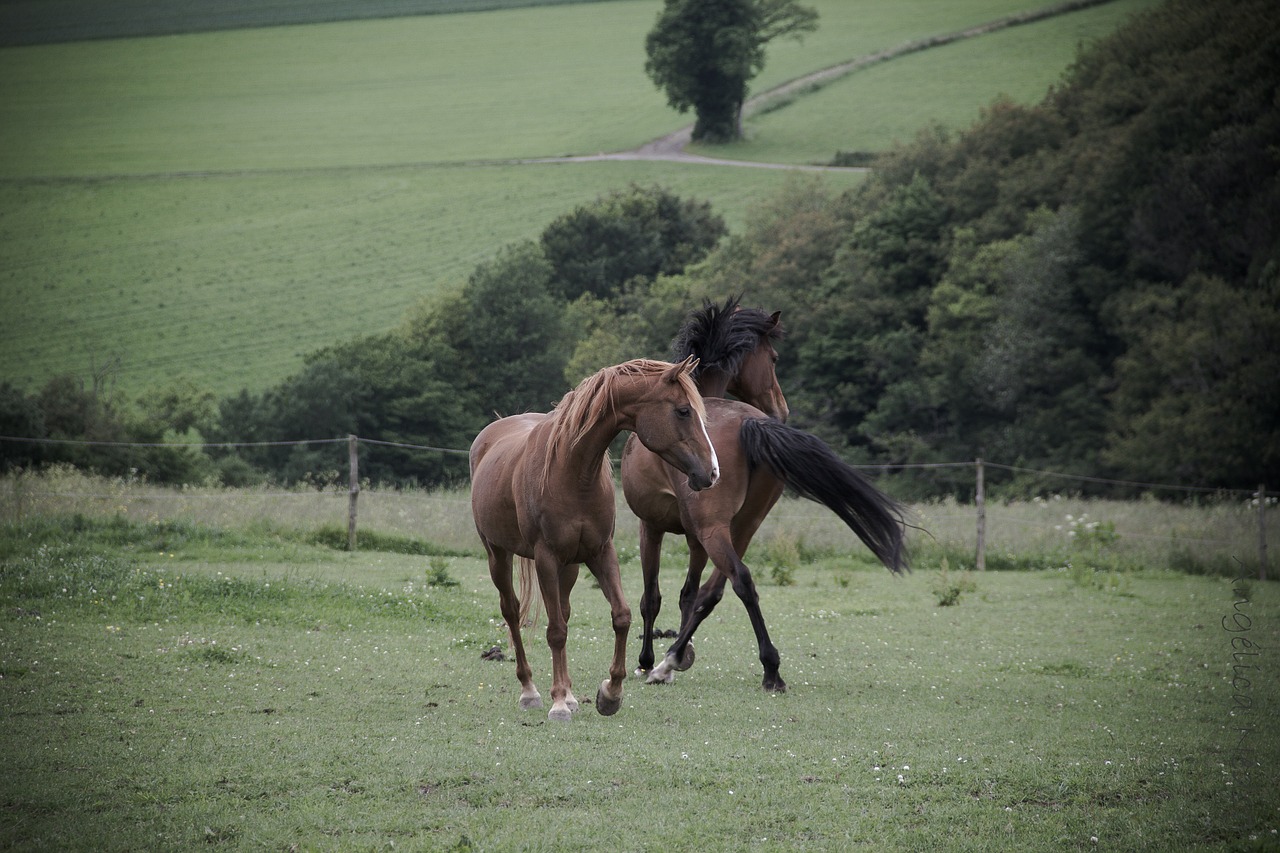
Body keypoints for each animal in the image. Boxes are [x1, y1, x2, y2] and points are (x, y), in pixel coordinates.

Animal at [476, 356, 727, 722]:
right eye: (683, 411)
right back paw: (531, 691)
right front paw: (557, 703)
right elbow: (555, 631)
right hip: (498, 554)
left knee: (563, 612)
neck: (572, 470)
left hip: (568, 567)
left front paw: (609, 694)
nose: (712, 473)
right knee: (512, 611)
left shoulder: (600, 552)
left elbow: (620, 616)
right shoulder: (546, 557)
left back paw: (569, 695)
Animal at [622, 298, 911, 691]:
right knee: (720, 590)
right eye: (773, 358)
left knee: (738, 580)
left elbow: (652, 597)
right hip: (744, 526)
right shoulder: (691, 536)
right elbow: (687, 594)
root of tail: (752, 422)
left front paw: (645, 661)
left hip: (717, 530)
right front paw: (682, 654)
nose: (781, 409)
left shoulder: (651, 526)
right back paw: (695, 661)